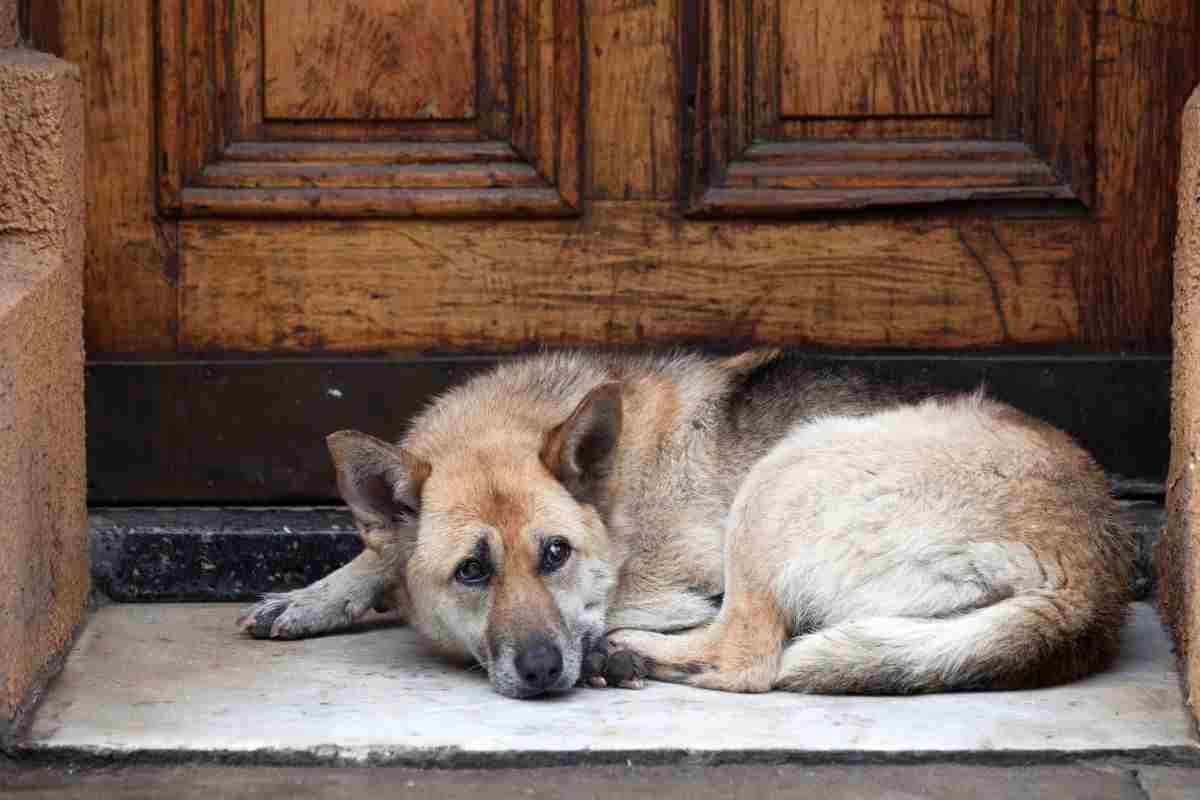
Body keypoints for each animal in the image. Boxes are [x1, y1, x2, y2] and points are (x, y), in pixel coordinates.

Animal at [236, 347, 1132, 695]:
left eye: (555, 553)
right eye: (472, 571)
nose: (543, 672)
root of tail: (1094, 575)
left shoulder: (661, 583)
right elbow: (380, 553)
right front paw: (313, 596)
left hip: (784, 476)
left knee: (750, 657)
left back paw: (627, 655)